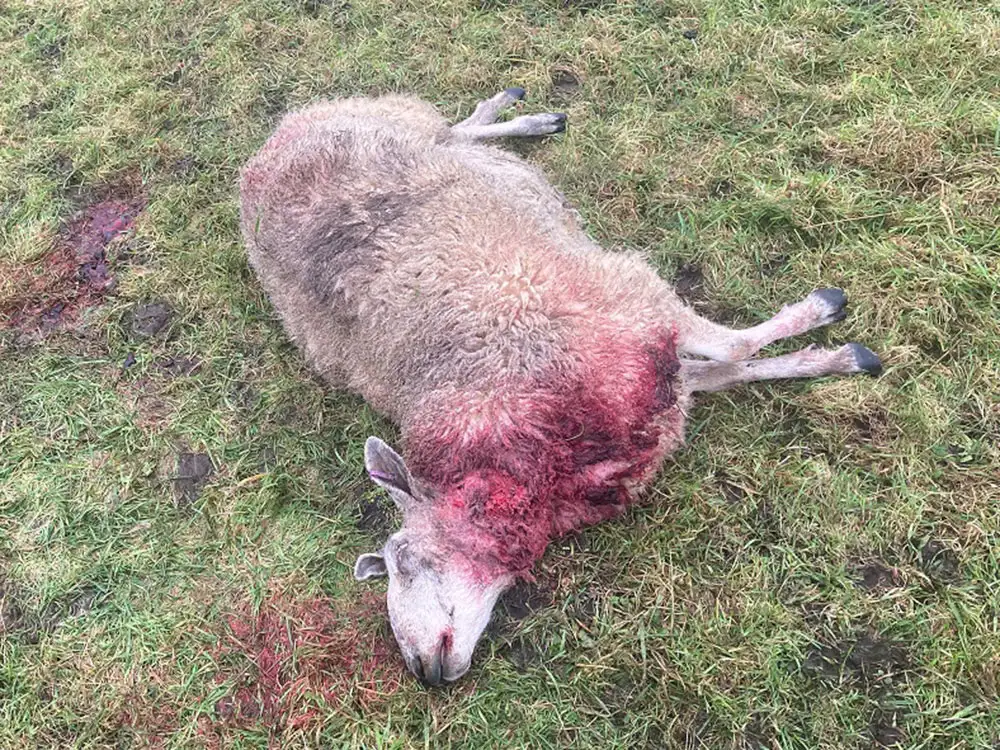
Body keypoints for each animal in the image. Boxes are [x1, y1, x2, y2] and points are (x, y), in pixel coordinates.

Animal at [239, 89, 882, 686]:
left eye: (404, 562)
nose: (422, 670)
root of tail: (262, 156)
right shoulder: (654, 376)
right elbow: (727, 368)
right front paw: (827, 357)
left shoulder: (628, 302)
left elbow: (734, 352)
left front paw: (826, 323)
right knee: (458, 137)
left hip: (399, 121)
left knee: (453, 132)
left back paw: (515, 114)